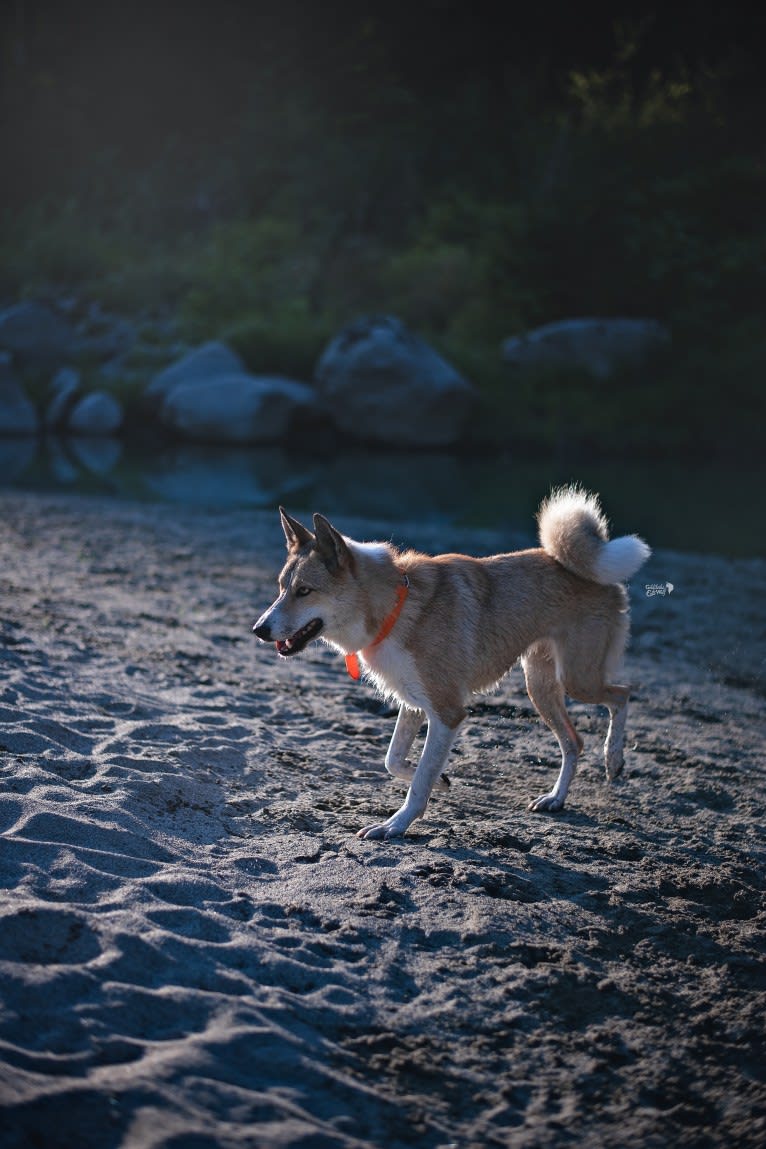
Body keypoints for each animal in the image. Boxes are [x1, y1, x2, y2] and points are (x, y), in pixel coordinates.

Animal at [254, 489, 652, 841]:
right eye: (280, 587)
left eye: (304, 591)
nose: (259, 630)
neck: (395, 607)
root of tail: (593, 571)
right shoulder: (415, 704)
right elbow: (394, 760)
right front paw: (441, 782)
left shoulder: (447, 713)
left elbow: (418, 782)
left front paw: (395, 826)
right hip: (540, 685)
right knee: (574, 741)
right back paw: (556, 798)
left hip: (576, 678)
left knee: (622, 694)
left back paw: (613, 760)